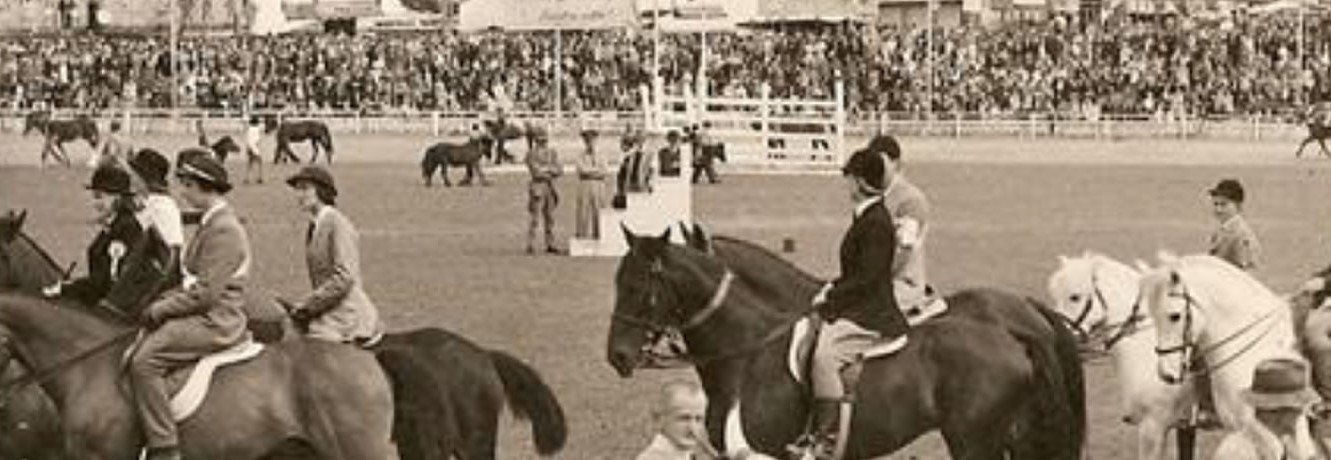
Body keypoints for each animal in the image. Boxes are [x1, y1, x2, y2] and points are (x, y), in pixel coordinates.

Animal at [608, 226, 1085, 460]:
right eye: (617, 283)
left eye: (637, 288)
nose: (617, 355)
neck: (748, 353)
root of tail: (1017, 328)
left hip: (976, 443)